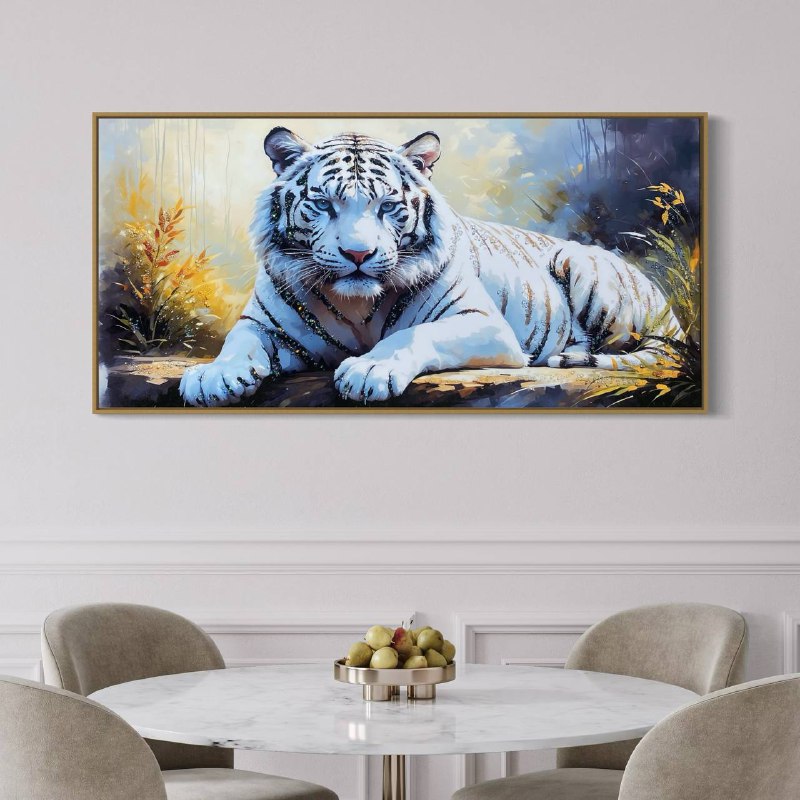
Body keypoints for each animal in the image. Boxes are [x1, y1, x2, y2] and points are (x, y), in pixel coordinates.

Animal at [179, 127, 683, 406]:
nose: (358, 255)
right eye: (323, 204)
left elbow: (412, 335)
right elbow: (239, 341)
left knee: (653, 352)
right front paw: (212, 377)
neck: (358, 308)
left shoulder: (483, 323)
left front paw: (368, 371)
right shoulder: (266, 325)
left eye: (387, 206)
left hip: (583, 269)